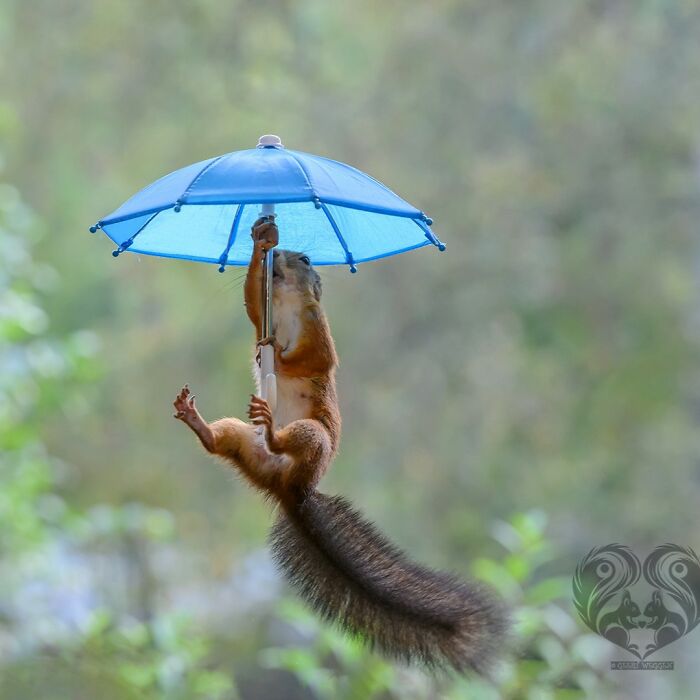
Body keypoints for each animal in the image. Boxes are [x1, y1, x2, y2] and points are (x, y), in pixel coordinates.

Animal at [173, 217, 508, 674]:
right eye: (277, 256)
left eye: (306, 258)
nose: (278, 256)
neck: (286, 306)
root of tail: (293, 488)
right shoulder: (263, 317)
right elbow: (253, 304)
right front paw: (259, 239)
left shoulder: (319, 331)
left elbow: (312, 359)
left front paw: (275, 353)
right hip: (241, 437)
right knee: (217, 442)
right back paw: (197, 420)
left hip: (312, 434)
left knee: (286, 436)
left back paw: (272, 429)